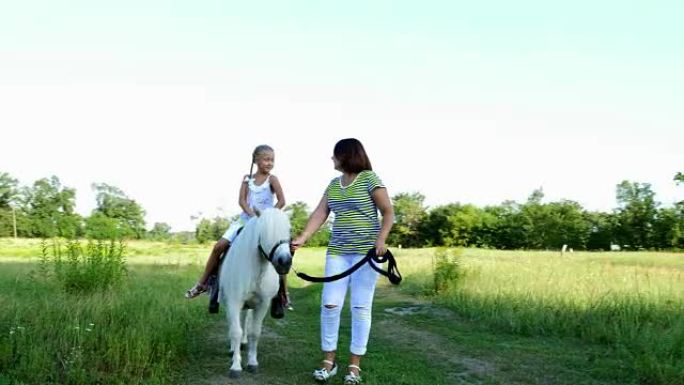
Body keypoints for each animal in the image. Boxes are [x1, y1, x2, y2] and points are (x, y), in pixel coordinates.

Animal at [220, 208, 292, 376]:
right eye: (265, 231)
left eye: (289, 230)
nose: (285, 262)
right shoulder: (234, 302)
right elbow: (236, 331)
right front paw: (236, 366)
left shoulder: (262, 304)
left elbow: (255, 332)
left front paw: (252, 363)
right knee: (234, 325)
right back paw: (233, 348)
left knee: (245, 320)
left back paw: (243, 343)